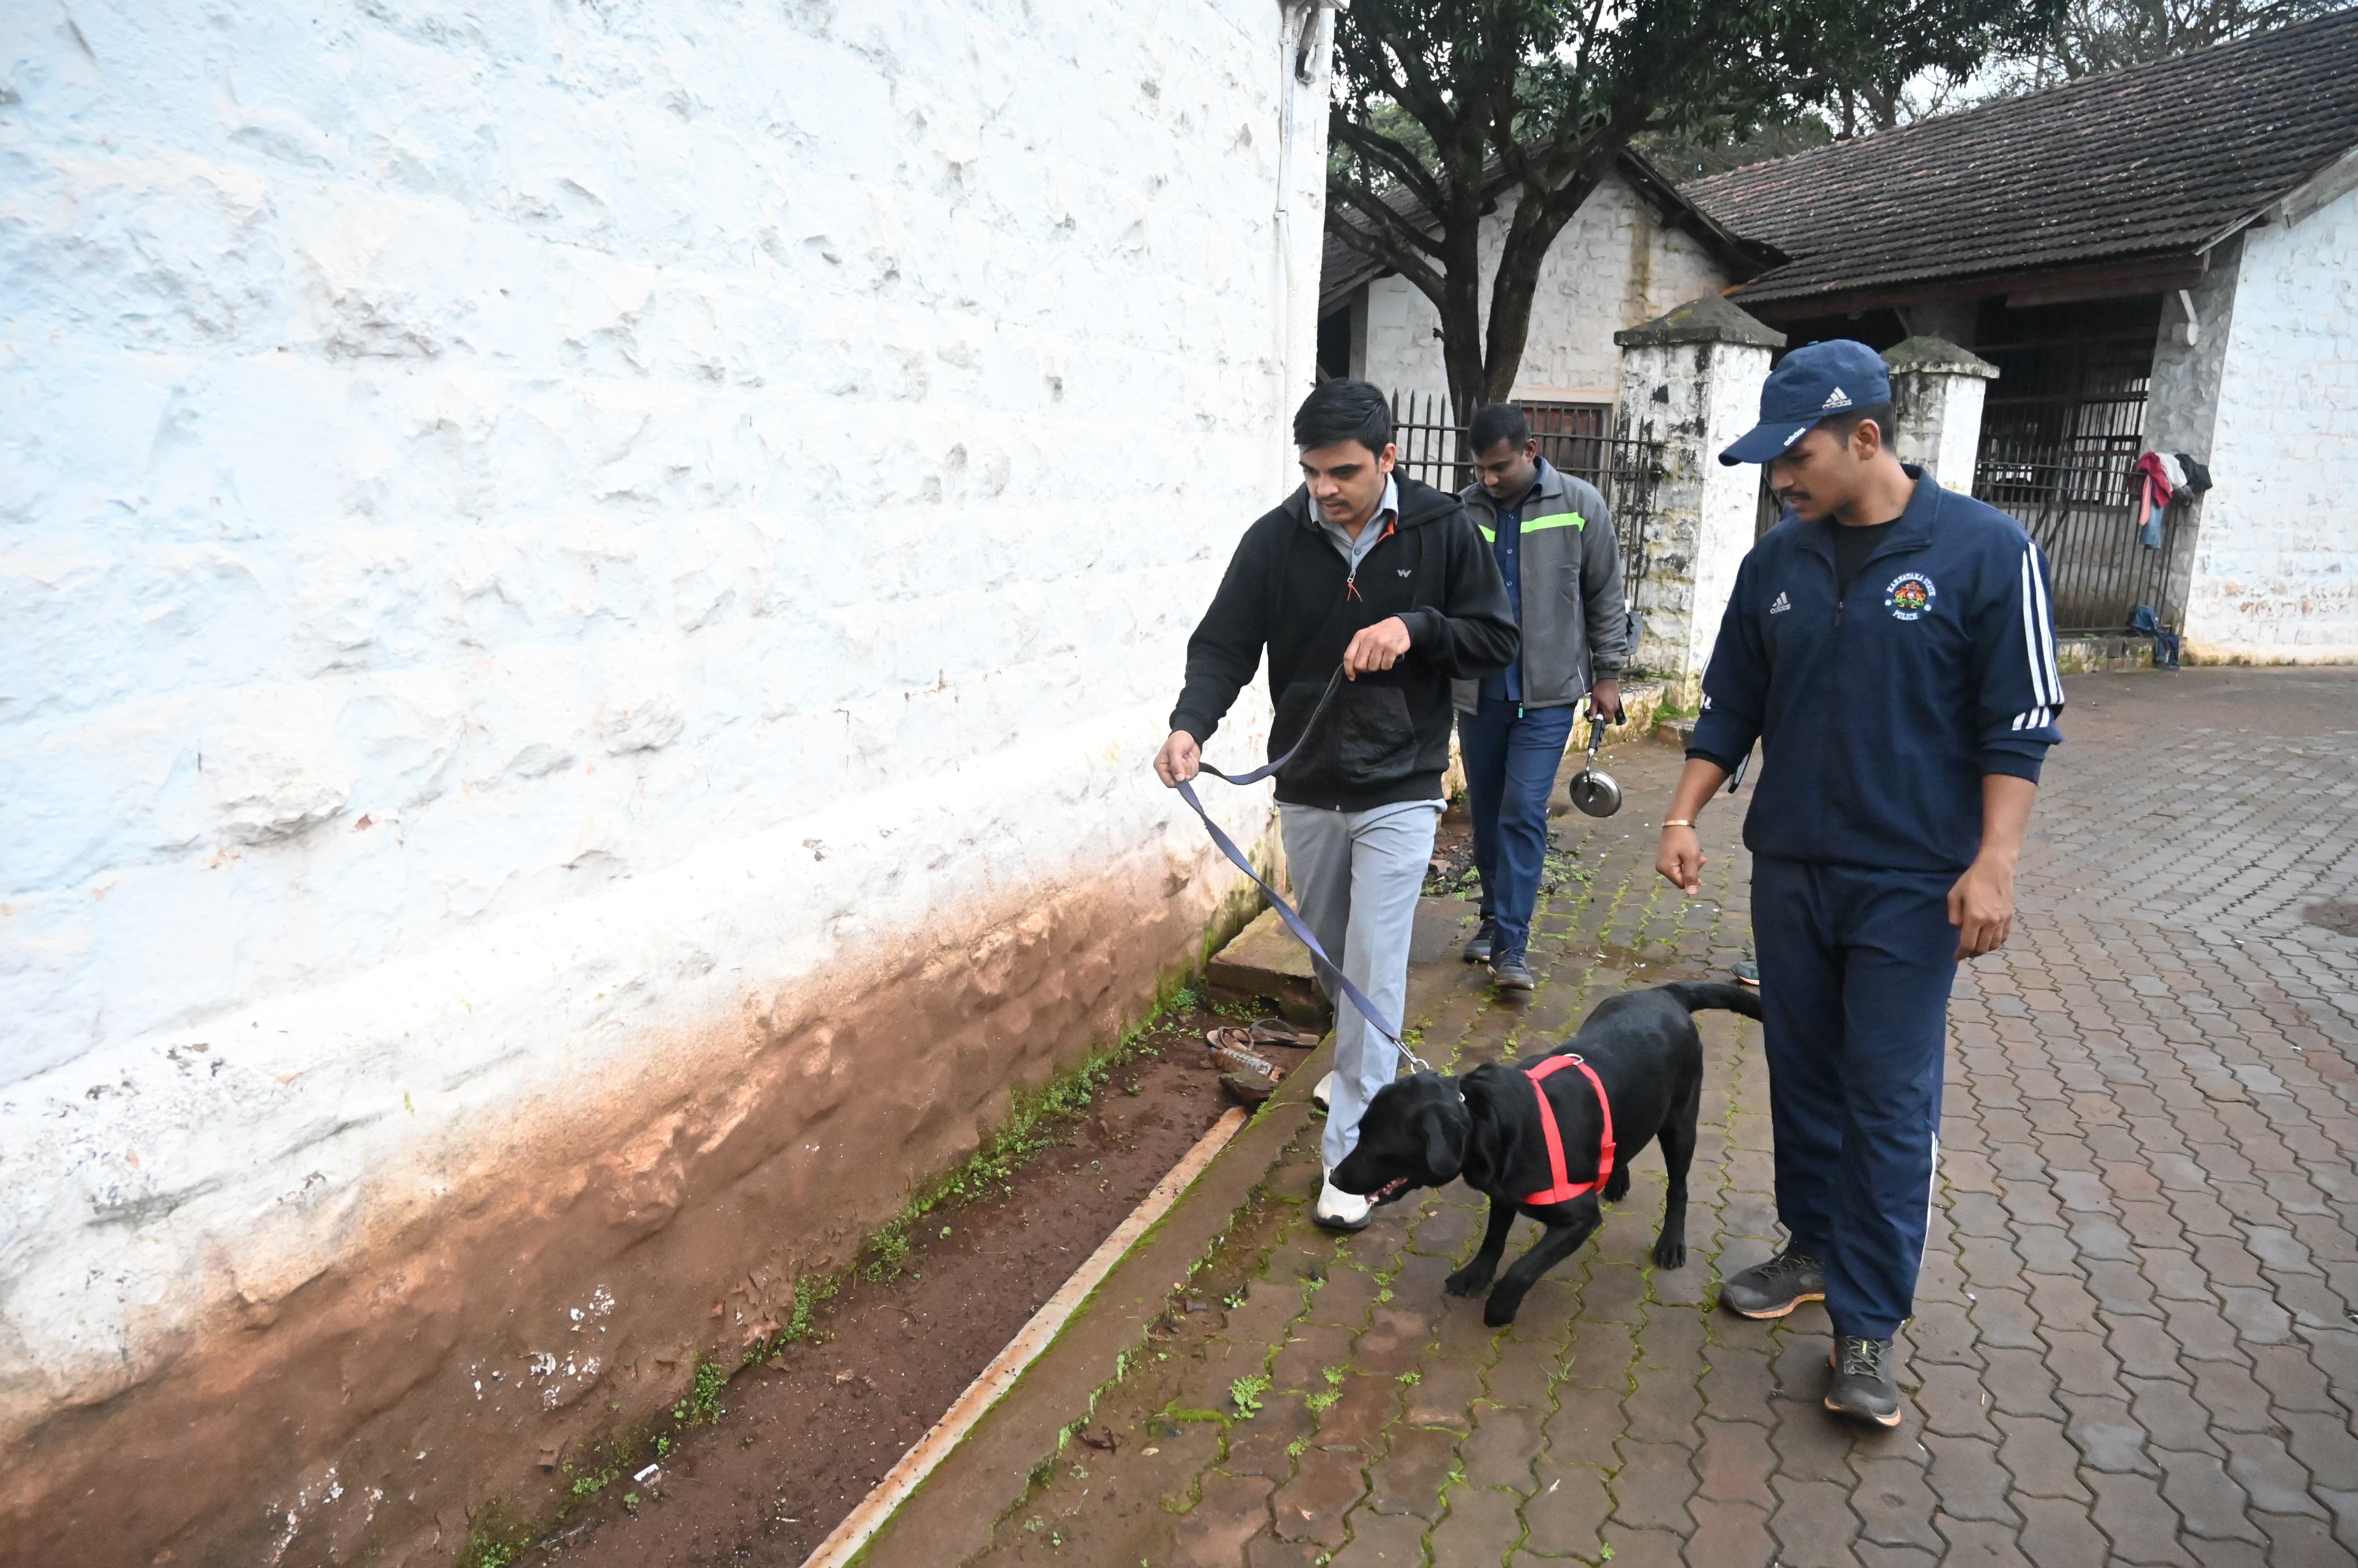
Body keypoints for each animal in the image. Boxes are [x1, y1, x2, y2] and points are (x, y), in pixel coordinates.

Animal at [1339, 980, 1763, 1320]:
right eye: (1359, 1132)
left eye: (1379, 1145)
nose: (1336, 1177)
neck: (1484, 1118)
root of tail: (1666, 992)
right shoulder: (1504, 1194)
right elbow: (1493, 1241)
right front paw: (1475, 1276)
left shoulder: (1579, 1219)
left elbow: (1522, 1269)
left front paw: (1500, 1308)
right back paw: (1615, 1178)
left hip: (1680, 1124)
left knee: (1679, 1187)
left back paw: (1671, 1242)